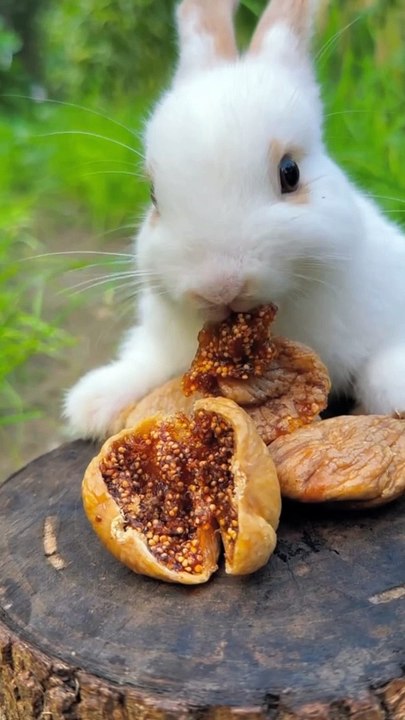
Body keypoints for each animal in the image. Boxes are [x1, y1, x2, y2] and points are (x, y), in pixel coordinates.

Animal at [65, 0, 405, 440]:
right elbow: (147, 360)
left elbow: (380, 367)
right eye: (154, 196)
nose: (219, 287)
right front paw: (91, 402)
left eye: (290, 172)